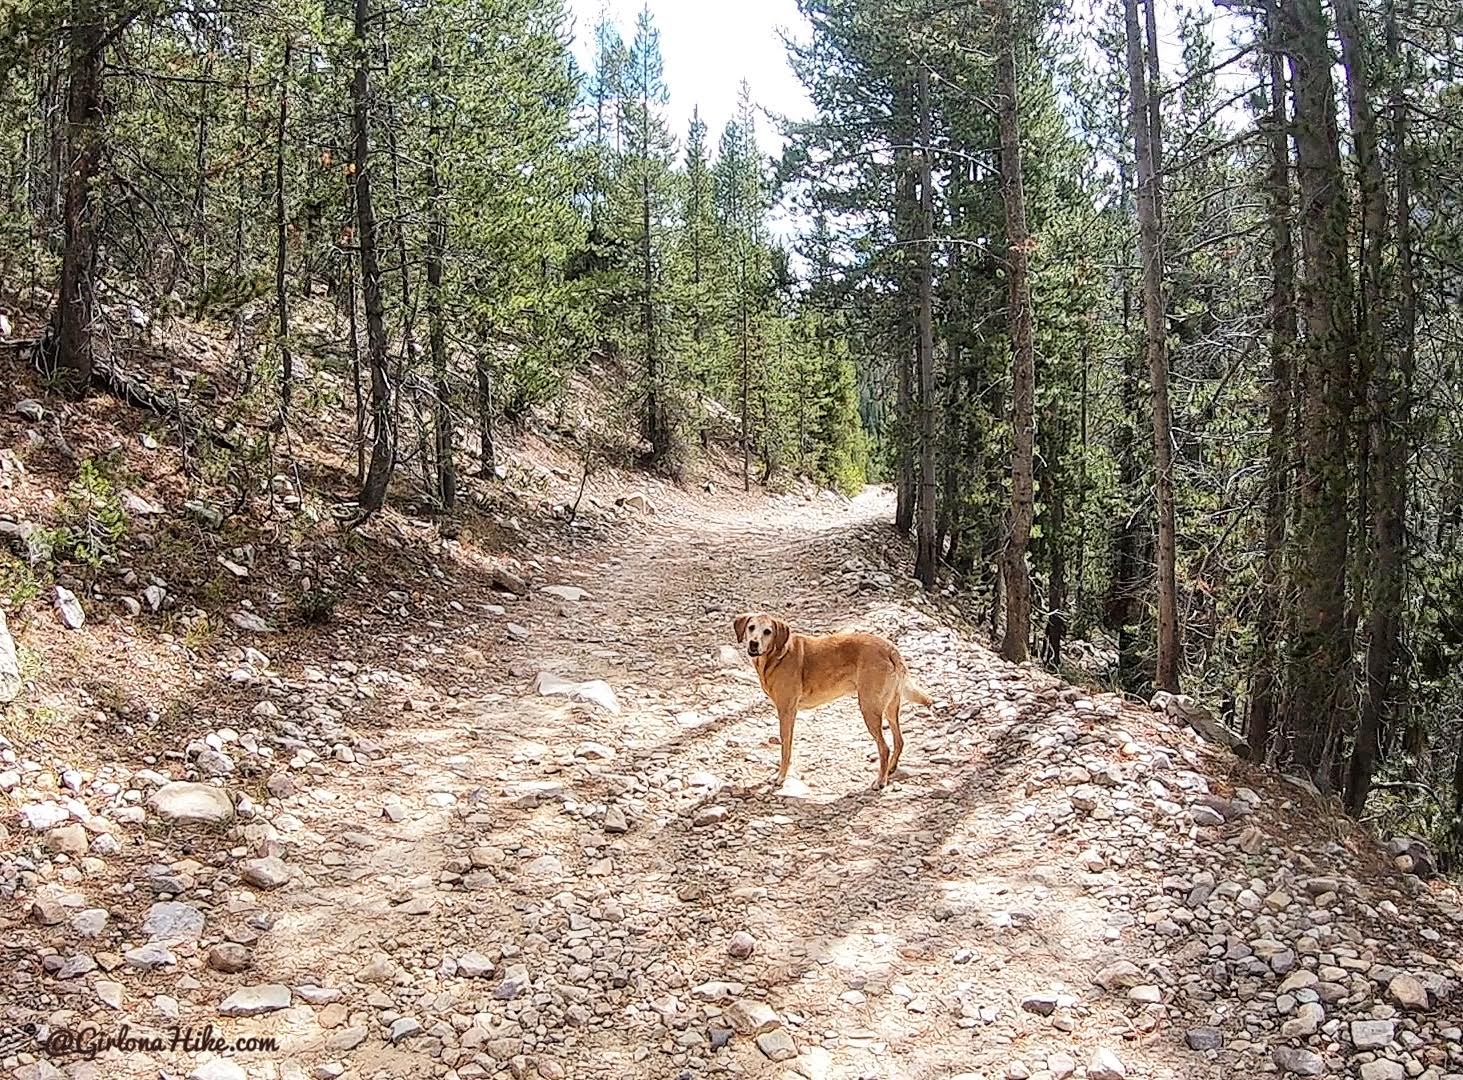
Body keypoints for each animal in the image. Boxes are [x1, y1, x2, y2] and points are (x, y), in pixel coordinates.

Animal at [737, 608, 930, 784]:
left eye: (767, 631)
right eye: (751, 627)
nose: (753, 644)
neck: (777, 655)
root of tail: (890, 648)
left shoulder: (786, 711)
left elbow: (786, 747)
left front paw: (781, 776)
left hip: (869, 709)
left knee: (884, 748)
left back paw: (880, 781)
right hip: (890, 708)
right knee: (899, 741)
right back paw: (890, 769)